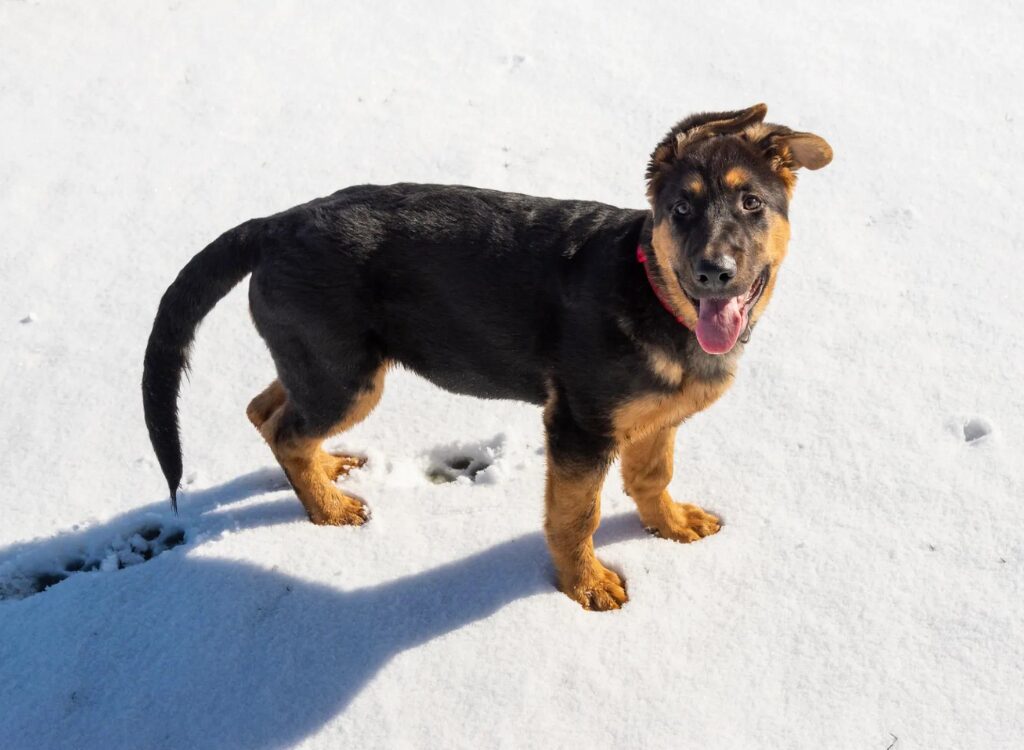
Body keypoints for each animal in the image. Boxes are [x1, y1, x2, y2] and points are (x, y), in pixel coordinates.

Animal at [146, 103, 831, 610]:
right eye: (680, 210)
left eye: (751, 204)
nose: (713, 273)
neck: (653, 292)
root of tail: (276, 223)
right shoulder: (578, 426)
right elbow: (576, 514)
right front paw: (585, 587)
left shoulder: (653, 418)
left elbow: (651, 477)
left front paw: (670, 526)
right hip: (346, 375)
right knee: (286, 428)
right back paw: (328, 512)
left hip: (320, 362)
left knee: (265, 410)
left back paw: (325, 475)